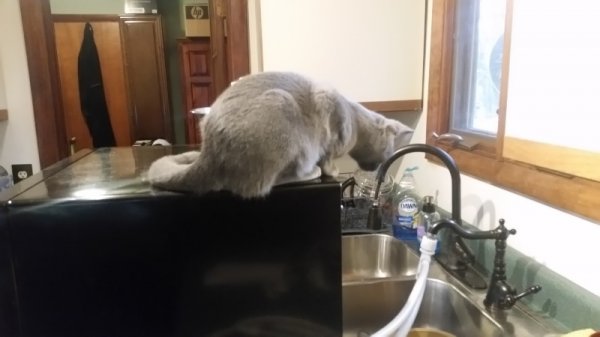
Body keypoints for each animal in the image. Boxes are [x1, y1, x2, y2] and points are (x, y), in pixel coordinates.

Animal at [146, 71, 412, 197]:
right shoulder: (328, 121)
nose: (377, 167)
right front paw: (332, 170)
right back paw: (309, 172)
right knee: (260, 184)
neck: (355, 123)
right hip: (281, 105)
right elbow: (327, 158)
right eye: (388, 152)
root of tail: (209, 150)